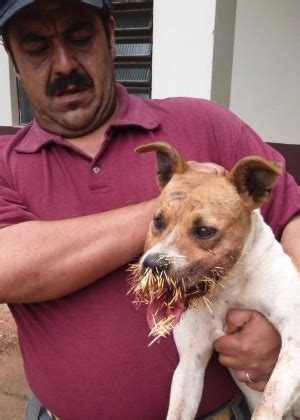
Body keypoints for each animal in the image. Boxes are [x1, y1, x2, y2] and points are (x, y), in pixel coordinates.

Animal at [130, 142, 300, 420]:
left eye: (204, 231)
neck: (229, 287)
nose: (152, 264)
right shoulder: (190, 363)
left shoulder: (294, 334)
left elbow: (268, 404)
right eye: (158, 221)